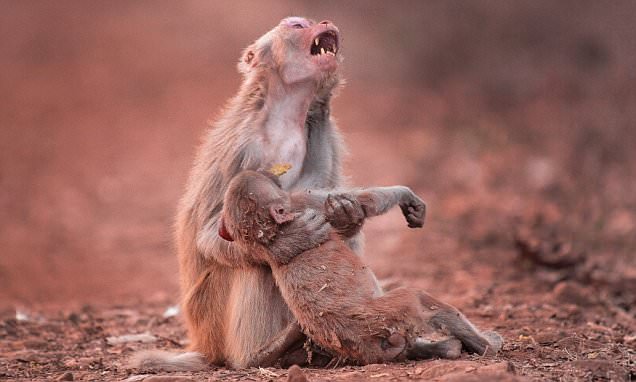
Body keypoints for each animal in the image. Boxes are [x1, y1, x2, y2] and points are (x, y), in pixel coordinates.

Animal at [217, 169, 502, 364]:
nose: (269, 172)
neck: (270, 234)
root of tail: (366, 344)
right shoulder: (301, 204)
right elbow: (367, 201)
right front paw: (405, 194)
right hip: (387, 315)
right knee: (419, 299)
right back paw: (486, 344)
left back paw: (447, 348)